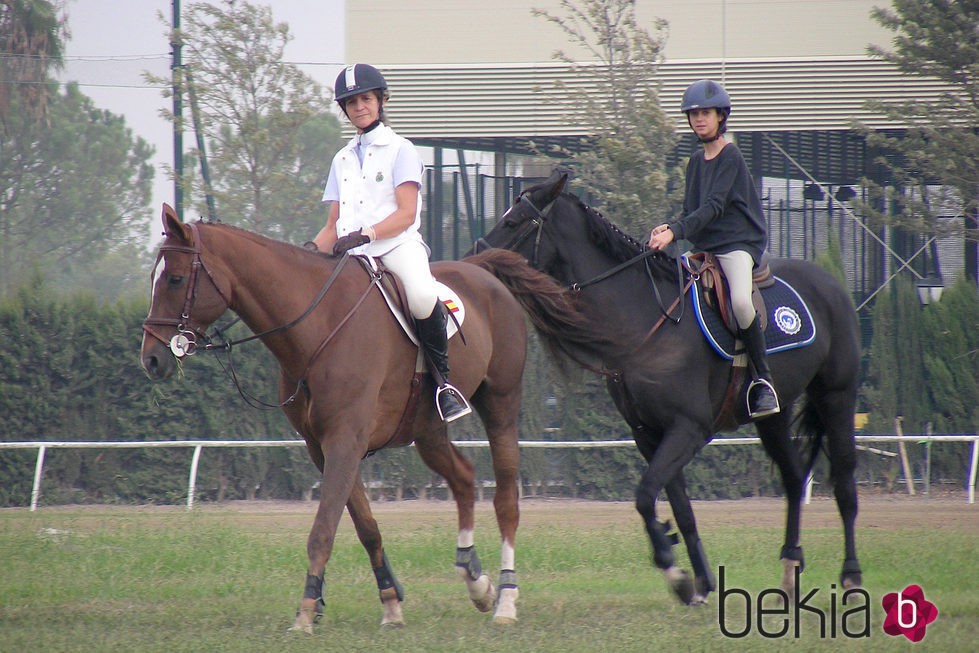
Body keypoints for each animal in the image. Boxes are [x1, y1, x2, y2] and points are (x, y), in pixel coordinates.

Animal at [138, 205, 596, 632]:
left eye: (174, 279)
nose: (152, 359)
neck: (317, 324)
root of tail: (482, 271)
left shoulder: (345, 440)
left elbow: (323, 529)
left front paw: (305, 612)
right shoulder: (323, 447)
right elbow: (365, 525)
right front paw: (390, 603)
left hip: (501, 406)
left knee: (505, 501)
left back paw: (505, 599)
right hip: (427, 431)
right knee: (465, 478)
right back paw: (475, 580)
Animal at [474, 169, 864, 608]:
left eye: (513, 222)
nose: (475, 256)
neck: (648, 320)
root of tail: (831, 284)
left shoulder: (687, 428)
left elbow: (646, 496)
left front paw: (673, 569)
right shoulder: (649, 434)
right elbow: (680, 509)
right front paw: (698, 582)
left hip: (836, 396)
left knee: (844, 484)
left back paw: (850, 576)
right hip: (773, 417)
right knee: (795, 479)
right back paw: (789, 569)